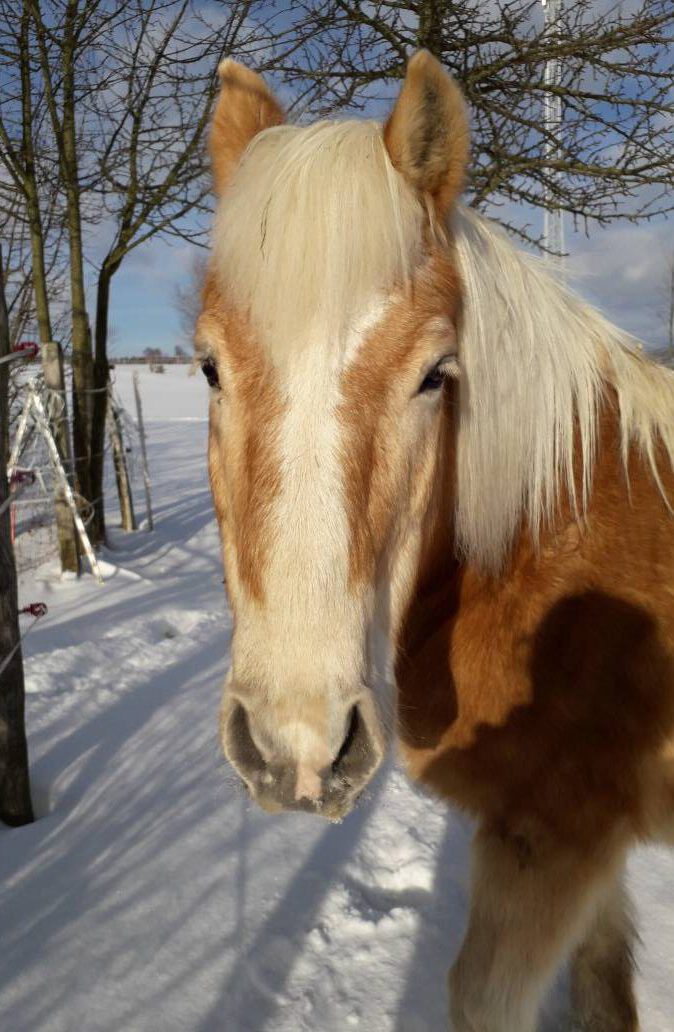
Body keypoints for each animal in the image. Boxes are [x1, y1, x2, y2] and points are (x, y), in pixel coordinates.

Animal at [197, 50, 672, 1032]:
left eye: (434, 375)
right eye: (210, 365)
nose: (298, 748)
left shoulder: (555, 843)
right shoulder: (583, 854)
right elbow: (604, 980)